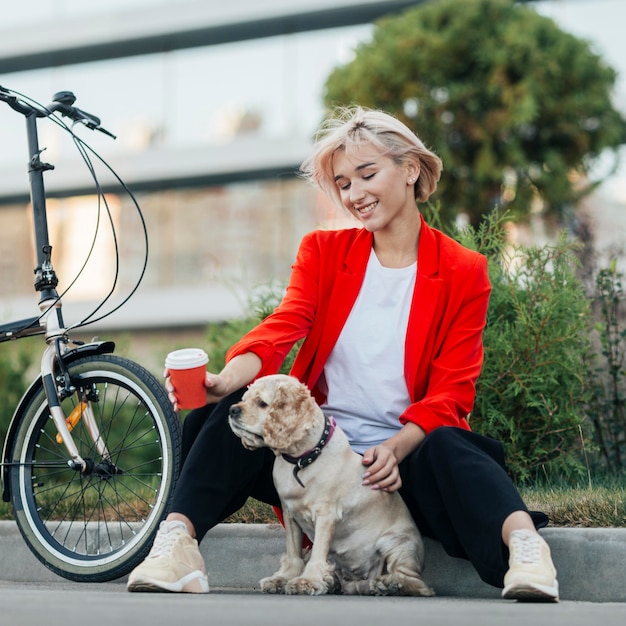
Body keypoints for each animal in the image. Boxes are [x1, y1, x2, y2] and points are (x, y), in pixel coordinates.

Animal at [228, 370, 434, 596]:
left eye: (262, 403)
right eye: (245, 399)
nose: (232, 410)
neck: (301, 461)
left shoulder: (326, 514)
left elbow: (319, 552)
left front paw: (306, 581)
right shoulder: (290, 514)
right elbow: (293, 552)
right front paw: (284, 578)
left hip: (399, 545)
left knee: (414, 582)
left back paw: (390, 584)